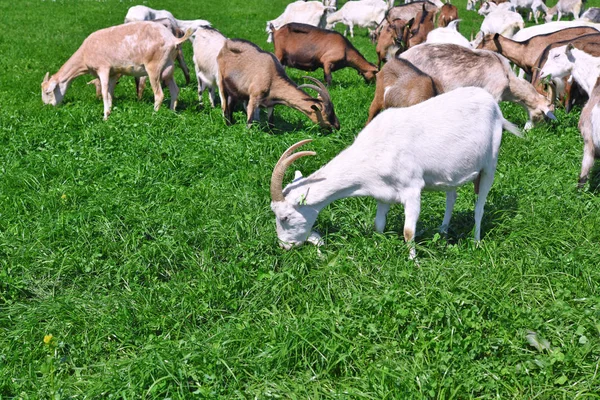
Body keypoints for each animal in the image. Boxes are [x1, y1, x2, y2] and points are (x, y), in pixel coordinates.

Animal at [41, 21, 191, 119]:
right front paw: (109, 111)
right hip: (168, 67)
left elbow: (104, 91)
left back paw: (154, 115)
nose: (47, 107)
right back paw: (172, 111)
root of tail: (172, 39)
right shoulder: (113, 73)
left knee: (159, 94)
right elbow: (110, 92)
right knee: (175, 90)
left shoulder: (103, 68)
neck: (84, 55)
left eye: (48, 92)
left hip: (154, 66)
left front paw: (104, 116)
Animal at [270, 86, 520, 260]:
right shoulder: (383, 194)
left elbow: (408, 231)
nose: (284, 246)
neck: (374, 150)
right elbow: (378, 225)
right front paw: (378, 247)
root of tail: (494, 104)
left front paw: (413, 263)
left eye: (285, 217)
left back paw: (476, 240)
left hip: (490, 162)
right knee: (452, 196)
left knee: (480, 205)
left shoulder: (412, 189)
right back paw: (443, 231)